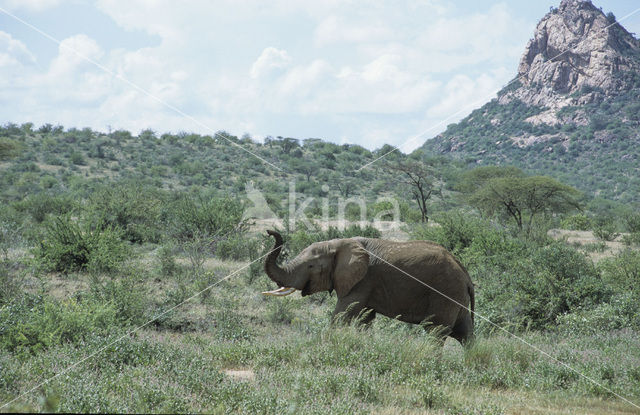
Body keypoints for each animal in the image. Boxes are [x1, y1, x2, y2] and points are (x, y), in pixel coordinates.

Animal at [262, 231, 476, 344]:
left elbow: (342, 315)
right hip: (456, 296)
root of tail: (466, 275)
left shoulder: (362, 281)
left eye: (311, 266)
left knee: (436, 332)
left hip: (446, 293)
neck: (340, 243)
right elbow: (364, 320)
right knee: (465, 333)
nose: (269, 232)